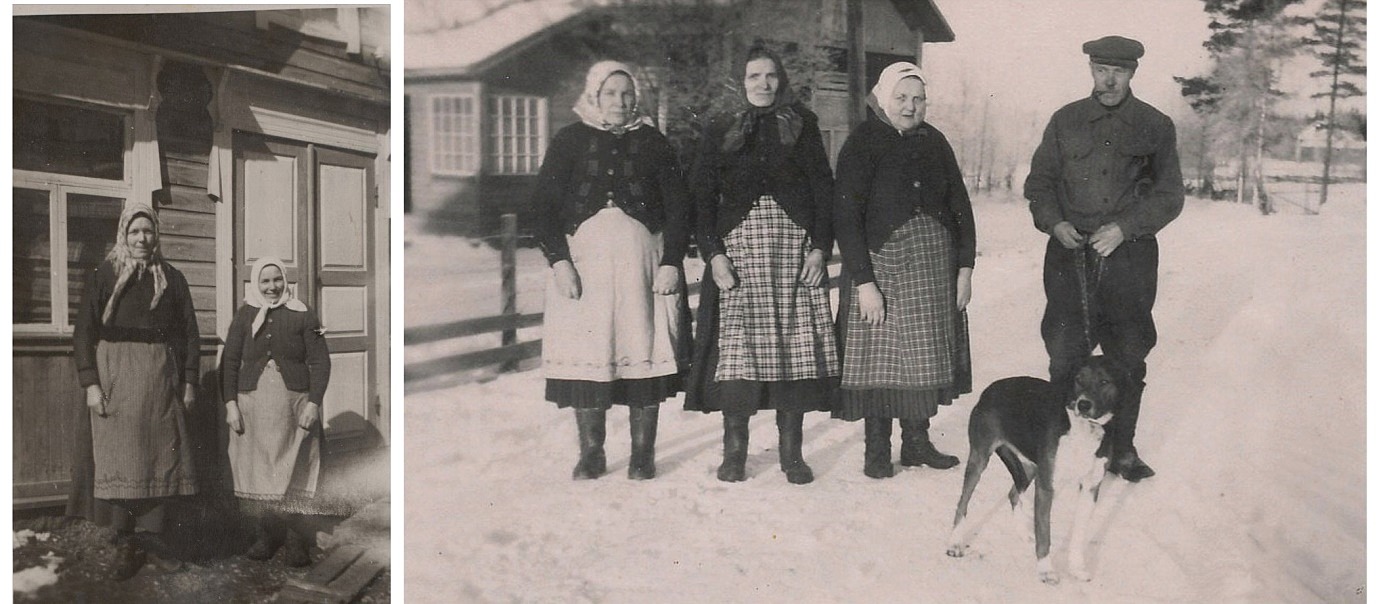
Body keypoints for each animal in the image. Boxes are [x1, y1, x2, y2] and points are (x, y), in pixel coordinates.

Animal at [943, 358, 1126, 583]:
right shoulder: (1046, 486)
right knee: (963, 502)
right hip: (980, 459)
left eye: (1104, 381)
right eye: (1078, 379)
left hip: (1030, 467)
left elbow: (1078, 534)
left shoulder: (1090, 488)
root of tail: (991, 388)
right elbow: (1045, 533)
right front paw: (1046, 570)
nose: (1083, 405)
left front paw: (1076, 568)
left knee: (1013, 493)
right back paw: (955, 543)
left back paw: (1023, 531)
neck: (1084, 430)